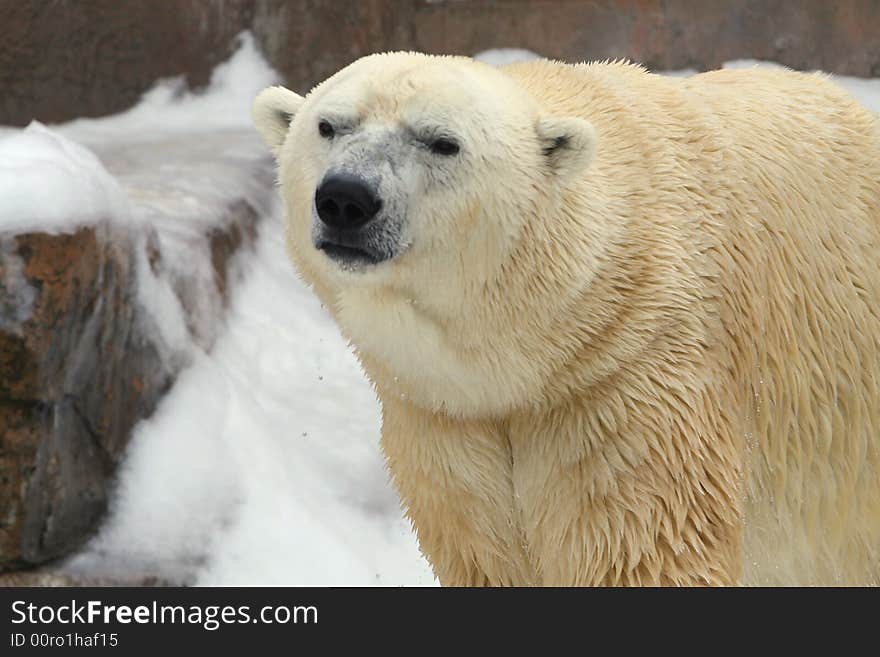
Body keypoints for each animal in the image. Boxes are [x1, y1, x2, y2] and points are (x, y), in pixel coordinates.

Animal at [253, 52, 880, 584]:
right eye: (329, 126)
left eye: (442, 142)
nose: (346, 198)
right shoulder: (446, 420)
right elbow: (486, 552)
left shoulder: (627, 391)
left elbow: (642, 550)